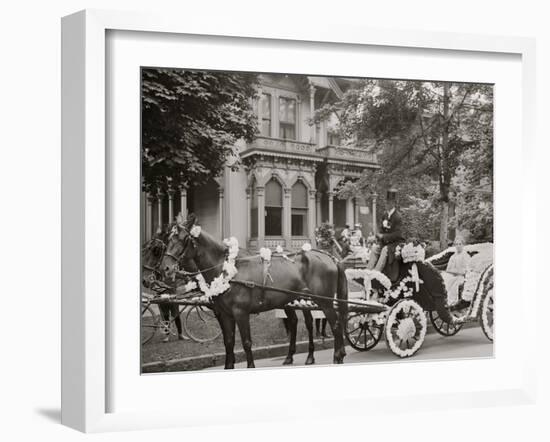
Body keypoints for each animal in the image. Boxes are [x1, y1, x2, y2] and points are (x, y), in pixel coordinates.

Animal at [161, 216, 350, 368]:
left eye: (183, 238)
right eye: (168, 238)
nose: (166, 268)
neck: (227, 269)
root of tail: (330, 257)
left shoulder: (241, 313)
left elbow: (246, 343)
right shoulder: (225, 314)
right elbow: (228, 342)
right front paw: (228, 366)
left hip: (324, 302)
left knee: (334, 325)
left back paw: (337, 356)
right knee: (300, 323)